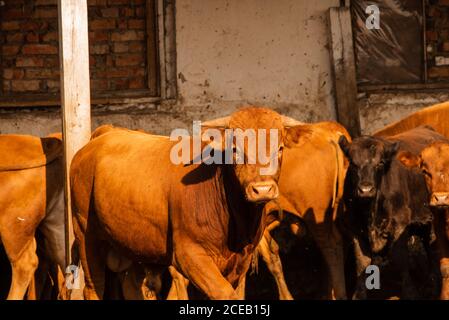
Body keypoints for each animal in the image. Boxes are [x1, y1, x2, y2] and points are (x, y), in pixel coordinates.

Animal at [71, 107, 300, 300]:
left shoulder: (240, 260)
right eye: (235, 149)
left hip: (133, 243)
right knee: (93, 288)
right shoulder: (189, 255)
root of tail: (103, 135)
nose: (262, 189)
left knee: (132, 287)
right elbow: (223, 294)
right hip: (86, 235)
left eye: (280, 148)